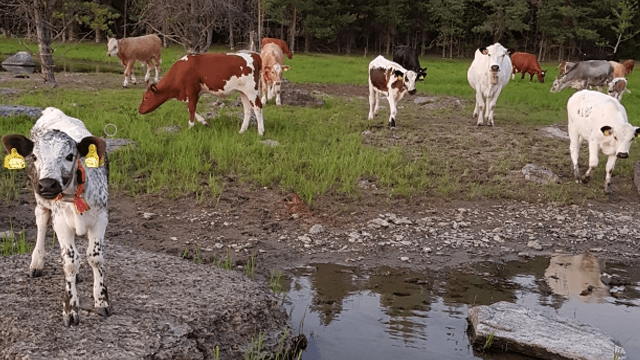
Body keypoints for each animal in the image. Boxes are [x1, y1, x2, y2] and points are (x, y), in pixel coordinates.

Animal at [1, 107, 110, 326]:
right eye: (34, 157)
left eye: (70, 156)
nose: (47, 184)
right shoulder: (60, 223)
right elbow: (69, 261)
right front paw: (71, 309)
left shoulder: (101, 217)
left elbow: (95, 258)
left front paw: (101, 301)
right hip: (40, 201)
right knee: (42, 222)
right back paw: (37, 263)